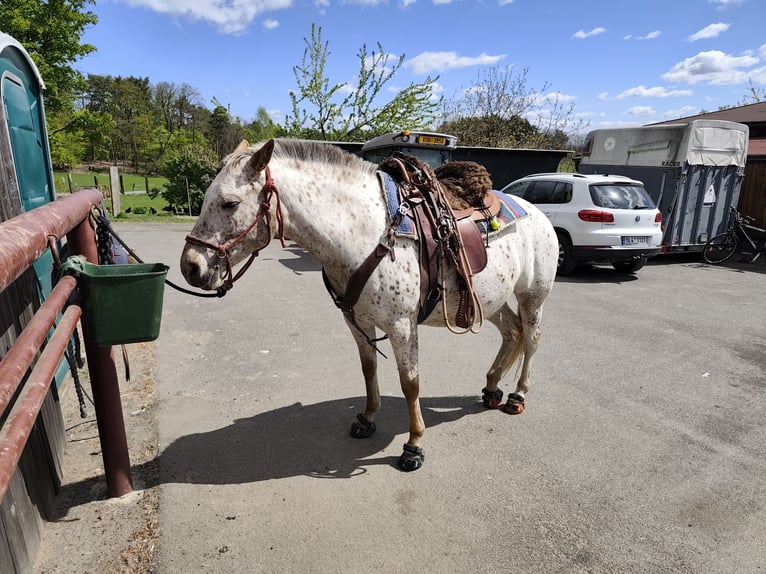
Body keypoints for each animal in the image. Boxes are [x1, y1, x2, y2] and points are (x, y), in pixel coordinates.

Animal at [180, 139, 558, 472]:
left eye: (229, 203)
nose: (190, 267)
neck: (367, 233)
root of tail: (536, 212)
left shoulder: (402, 326)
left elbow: (410, 383)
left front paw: (413, 445)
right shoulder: (356, 319)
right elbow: (368, 369)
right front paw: (367, 418)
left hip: (532, 296)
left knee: (532, 338)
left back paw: (517, 396)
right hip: (491, 301)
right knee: (512, 332)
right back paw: (492, 387)